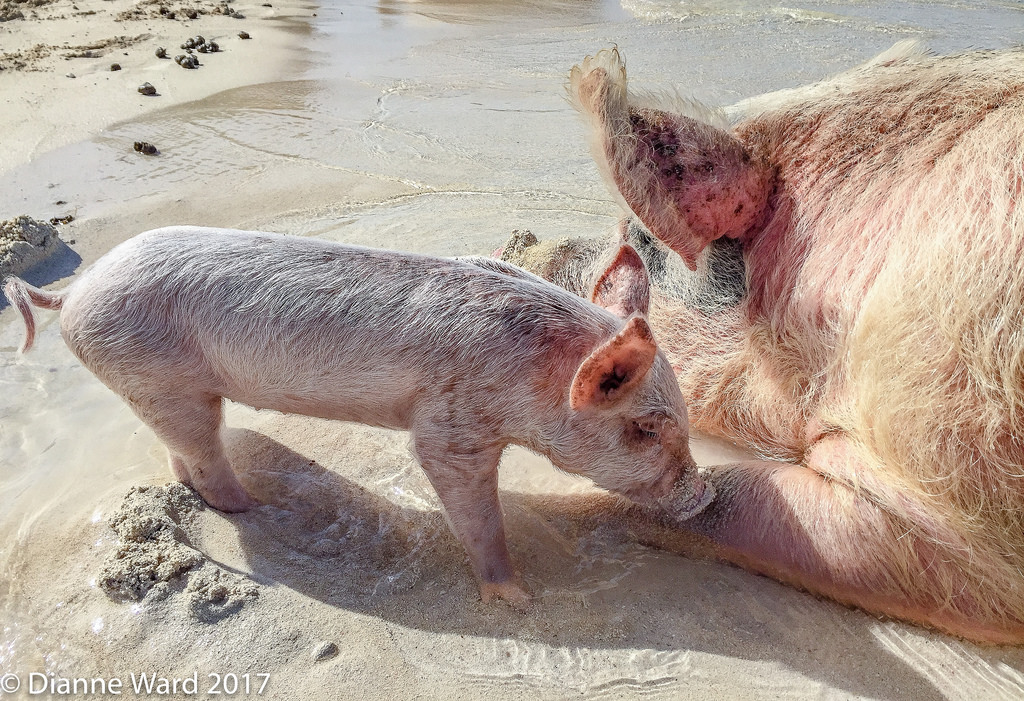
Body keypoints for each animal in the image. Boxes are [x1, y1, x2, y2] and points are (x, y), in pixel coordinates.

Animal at [3, 226, 712, 606]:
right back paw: (257, 510)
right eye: (645, 428)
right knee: (204, 459)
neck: (533, 375)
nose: (705, 493)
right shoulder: (450, 421)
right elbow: (464, 498)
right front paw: (516, 600)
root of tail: (75, 288)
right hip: (157, 377)